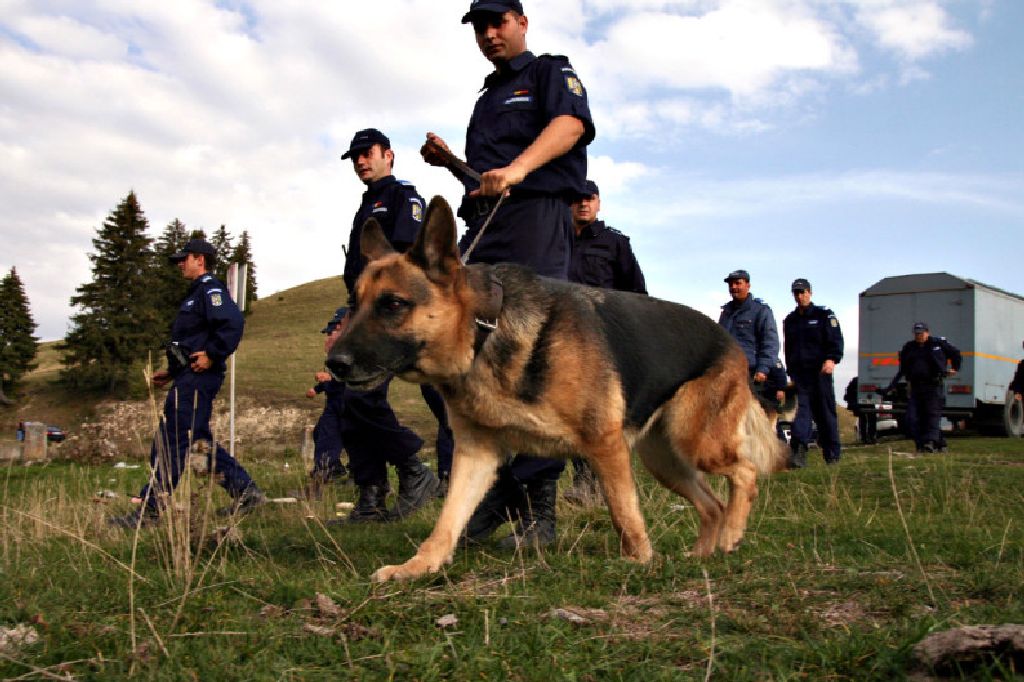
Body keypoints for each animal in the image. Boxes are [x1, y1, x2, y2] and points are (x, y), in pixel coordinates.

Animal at [327, 195, 782, 577]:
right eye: (354, 304)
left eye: (393, 304)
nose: (334, 363)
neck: (485, 330)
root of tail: (728, 339)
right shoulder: (476, 455)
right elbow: (447, 519)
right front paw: (418, 567)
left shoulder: (605, 445)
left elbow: (624, 513)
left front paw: (639, 561)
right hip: (665, 459)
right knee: (712, 504)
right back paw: (703, 554)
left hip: (695, 441)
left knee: (745, 473)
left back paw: (731, 536)